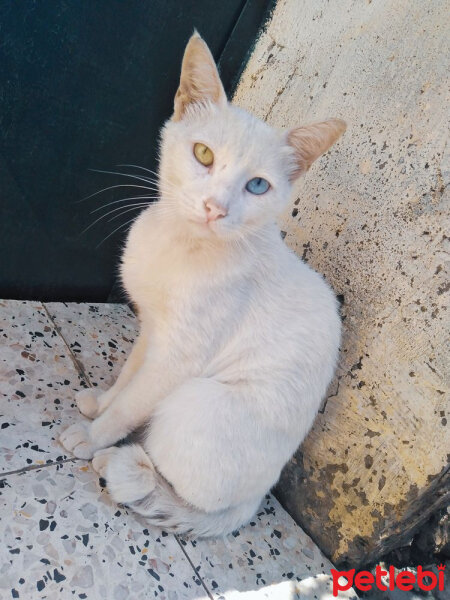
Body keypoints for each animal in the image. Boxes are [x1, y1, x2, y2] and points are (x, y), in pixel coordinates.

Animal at [60, 32, 344, 536]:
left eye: (257, 186)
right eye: (204, 154)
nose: (216, 207)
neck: (181, 246)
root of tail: (252, 504)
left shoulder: (178, 358)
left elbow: (132, 405)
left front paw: (94, 436)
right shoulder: (153, 330)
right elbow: (128, 377)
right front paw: (102, 401)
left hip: (194, 399)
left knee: (179, 486)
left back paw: (122, 466)